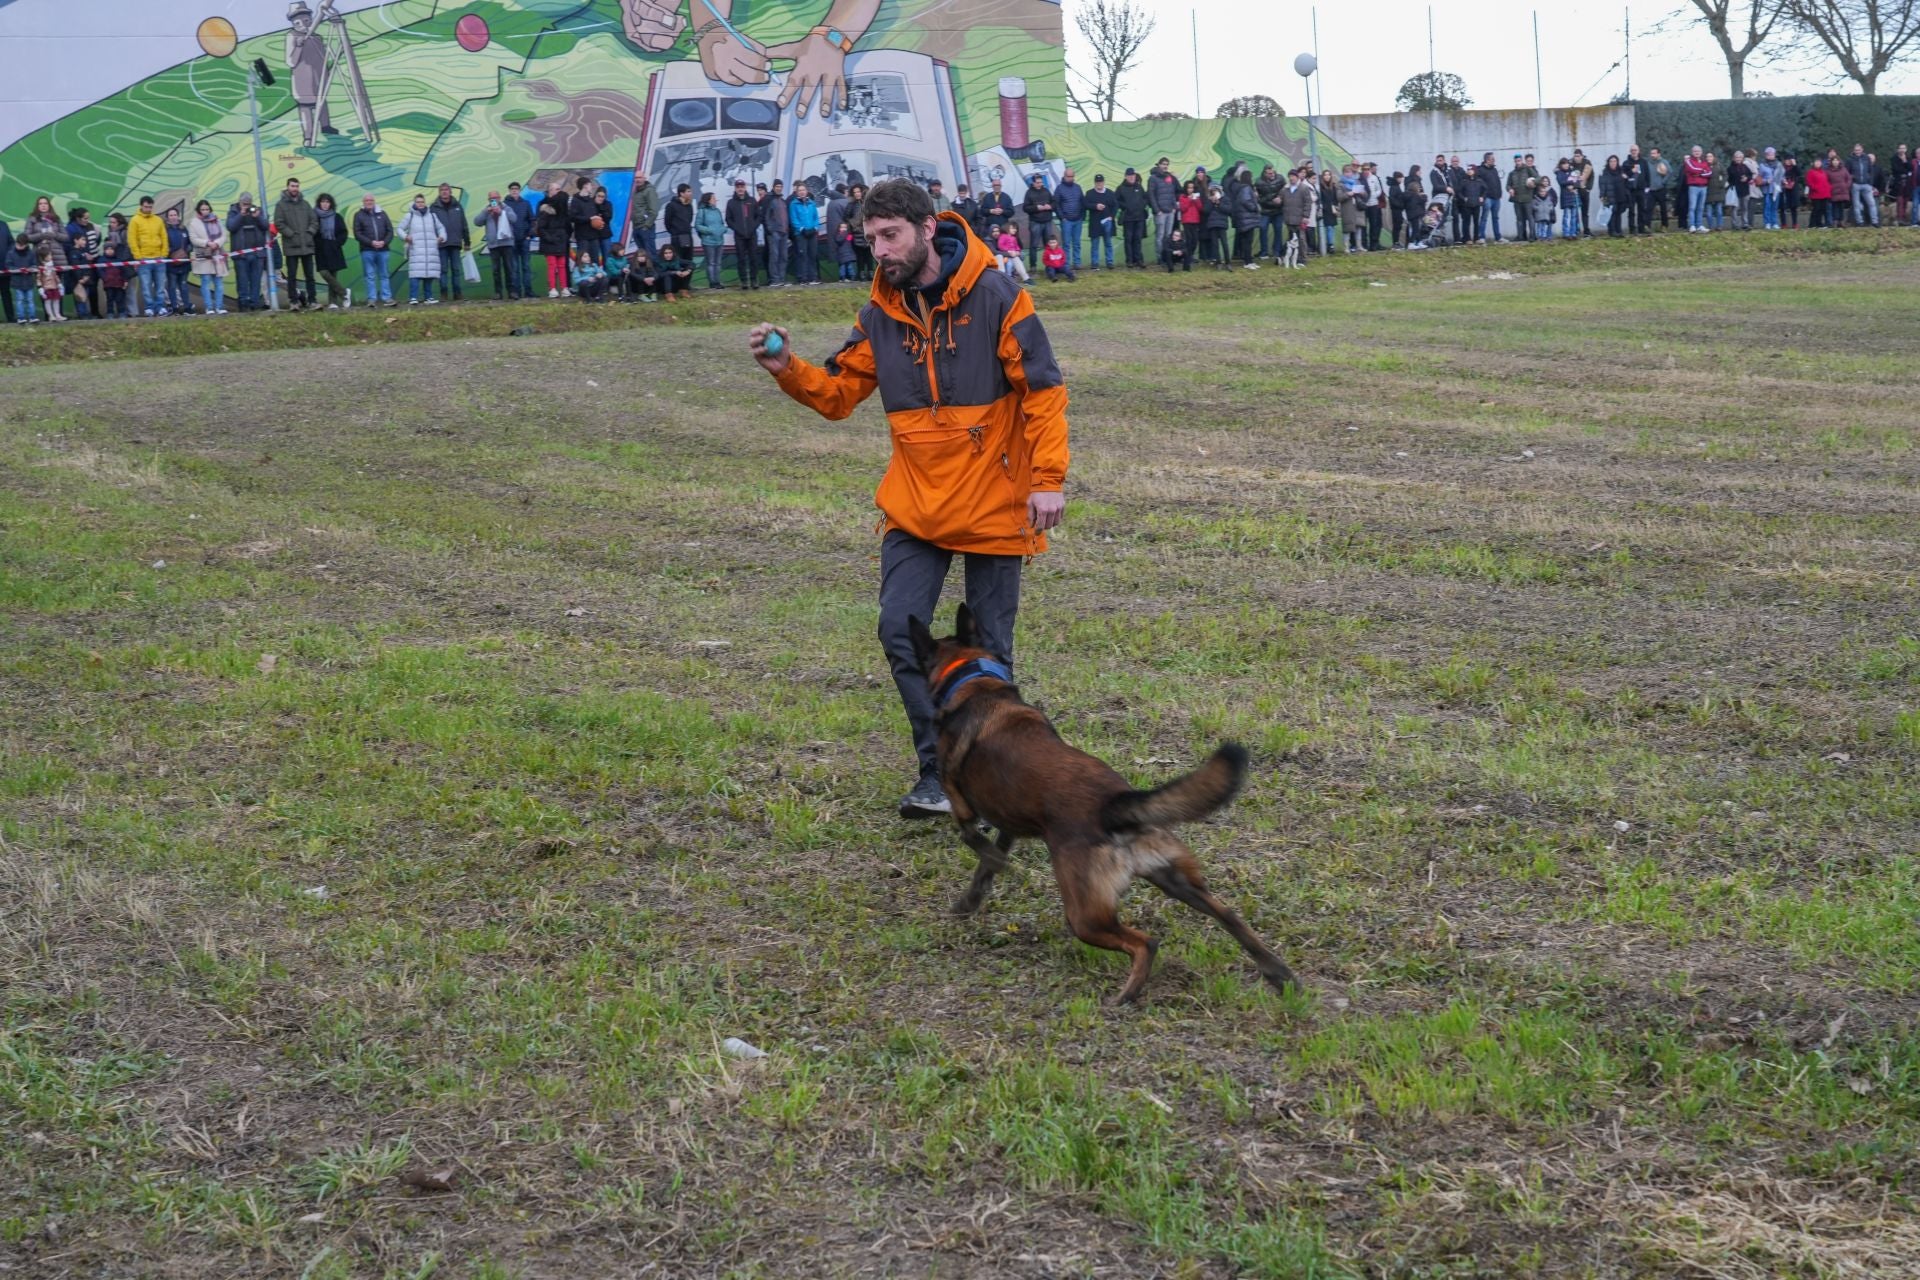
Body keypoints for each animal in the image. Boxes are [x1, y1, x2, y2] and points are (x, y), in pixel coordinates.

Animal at [906, 606, 1297, 1005]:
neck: (975, 681)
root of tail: (1117, 804)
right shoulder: (1009, 823)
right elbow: (987, 865)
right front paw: (970, 901)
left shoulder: (960, 800)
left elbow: (974, 841)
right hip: (1174, 878)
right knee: (1229, 915)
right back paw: (1278, 974)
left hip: (1085, 916)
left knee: (1145, 942)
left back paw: (1127, 996)